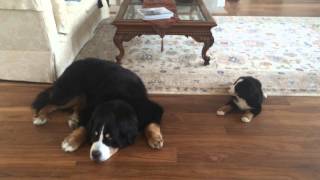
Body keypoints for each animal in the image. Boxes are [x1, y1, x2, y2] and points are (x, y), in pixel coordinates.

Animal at [31, 58, 164, 162]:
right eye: (94, 134)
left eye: (110, 137)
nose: (95, 154)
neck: (120, 98)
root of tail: (75, 62)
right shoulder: (91, 110)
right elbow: (85, 127)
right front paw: (71, 141)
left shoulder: (151, 109)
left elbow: (151, 124)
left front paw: (155, 138)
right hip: (70, 93)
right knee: (51, 103)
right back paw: (41, 117)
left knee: (75, 106)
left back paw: (74, 118)